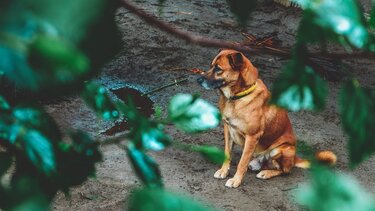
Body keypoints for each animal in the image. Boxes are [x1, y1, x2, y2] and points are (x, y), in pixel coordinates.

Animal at [197, 49, 338, 188]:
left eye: (218, 69)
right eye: (211, 66)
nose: (198, 79)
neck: (238, 97)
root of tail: (294, 159)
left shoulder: (252, 136)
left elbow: (242, 162)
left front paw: (236, 180)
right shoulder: (228, 129)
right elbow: (227, 153)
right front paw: (223, 171)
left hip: (281, 149)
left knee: (285, 171)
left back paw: (266, 173)